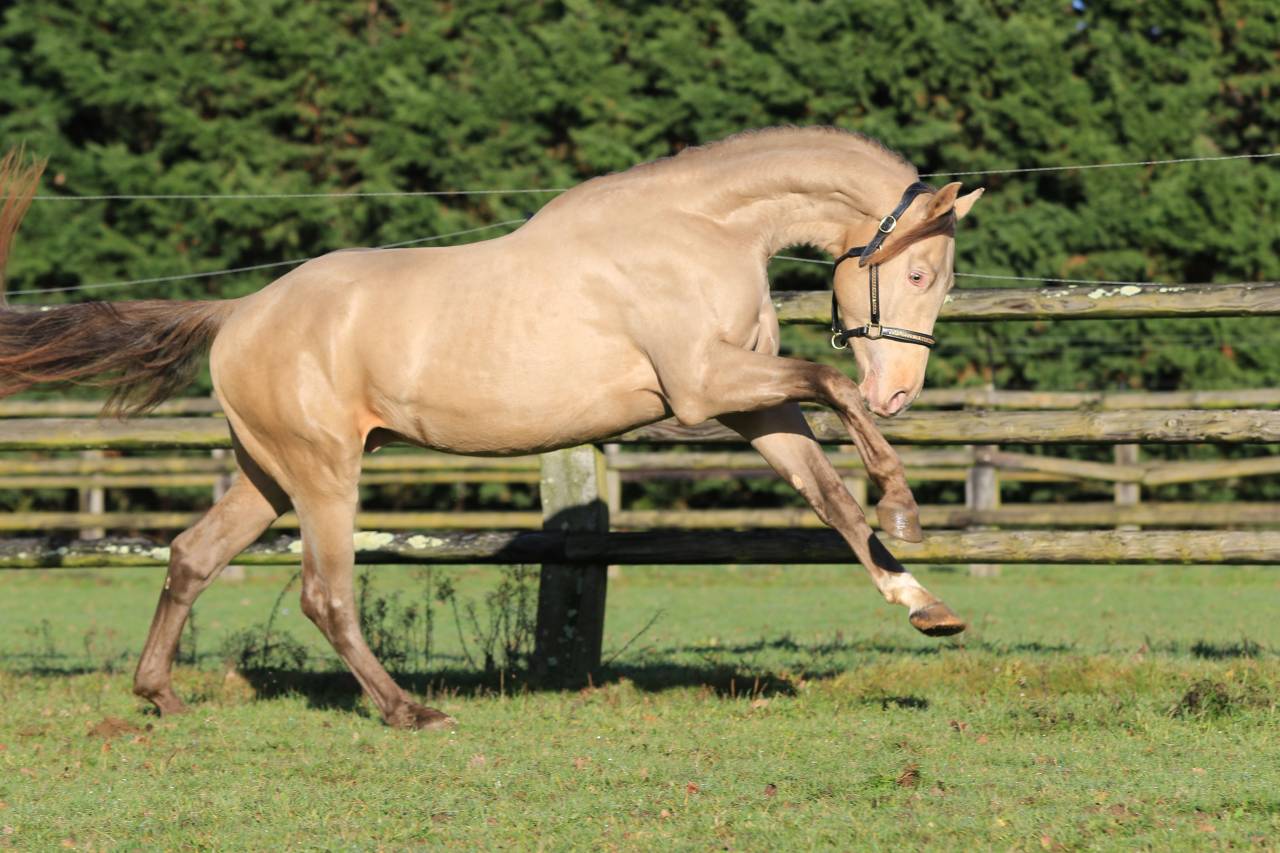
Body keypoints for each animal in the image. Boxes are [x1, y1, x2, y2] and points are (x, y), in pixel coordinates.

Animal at [0, 128, 981, 729]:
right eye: (921, 274)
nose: (900, 393)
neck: (698, 229)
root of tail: (239, 312)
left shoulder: (750, 404)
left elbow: (828, 497)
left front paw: (925, 604)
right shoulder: (706, 389)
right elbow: (831, 385)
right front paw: (903, 503)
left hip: (267, 474)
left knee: (192, 556)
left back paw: (159, 695)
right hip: (322, 473)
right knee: (325, 594)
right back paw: (410, 711)